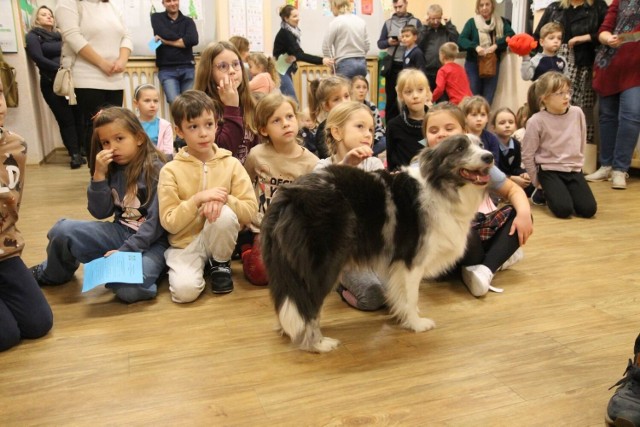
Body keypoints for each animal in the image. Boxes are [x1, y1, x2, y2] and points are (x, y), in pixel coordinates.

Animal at [262, 135, 492, 352]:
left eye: (480, 144)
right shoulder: (411, 261)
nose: (490, 157)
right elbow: (411, 296)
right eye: (460, 148)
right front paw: (416, 323)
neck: (438, 187)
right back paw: (317, 344)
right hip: (321, 267)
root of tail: (289, 195)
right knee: (308, 306)